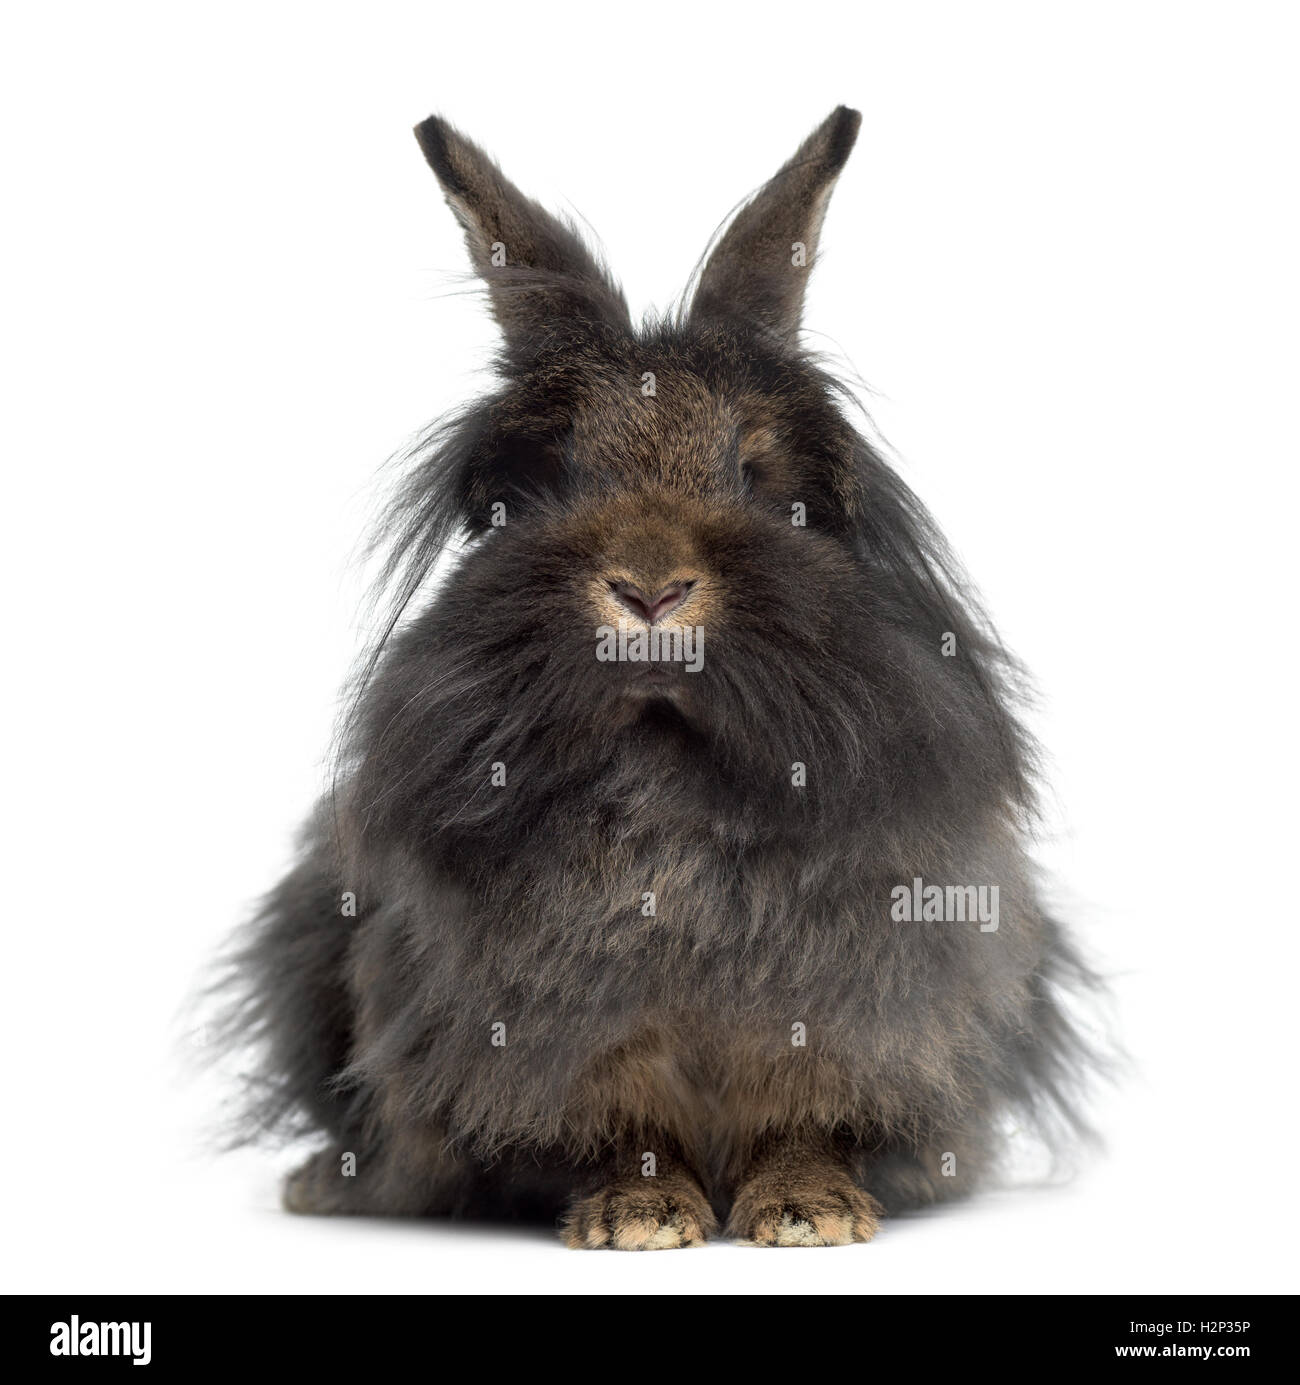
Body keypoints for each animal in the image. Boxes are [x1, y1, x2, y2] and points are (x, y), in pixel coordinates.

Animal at [218, 106, 1098, 1249]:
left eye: (763, 482)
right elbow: (619, 1117)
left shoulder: (848, 1010)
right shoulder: (559, 1032)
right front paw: (637, 1216)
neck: (661, 771)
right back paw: (323, 1180)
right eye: (534, 492)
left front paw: (807, 1211)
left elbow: (805, 1113)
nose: (647, 588)